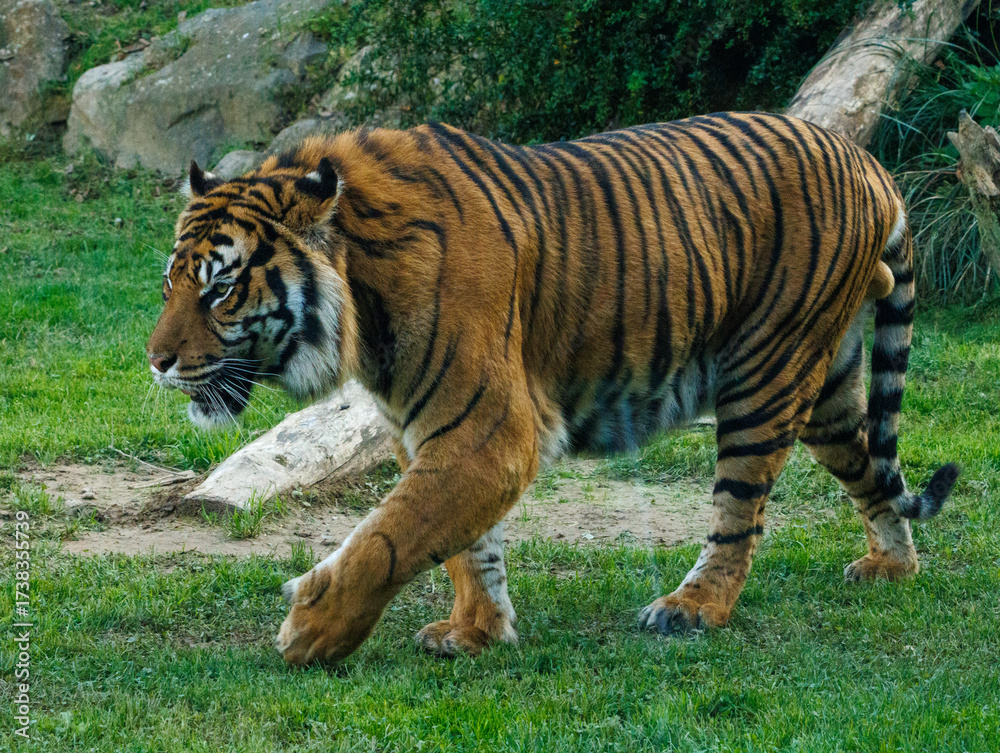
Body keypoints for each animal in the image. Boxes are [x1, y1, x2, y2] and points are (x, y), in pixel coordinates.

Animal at [146, 112, 959, 665]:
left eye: (219, 291)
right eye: (170, 285)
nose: (155, 361)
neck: (362, 291)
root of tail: (864, 157)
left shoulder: (489, 430)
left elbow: (391, 534)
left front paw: (311, 630)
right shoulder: (428, 427)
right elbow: (461, 543)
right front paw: (475, 631)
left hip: (766, 374)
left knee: (741, 515)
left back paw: (691, 608)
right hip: (826, 384)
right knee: (872, 469)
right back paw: (892, 565)